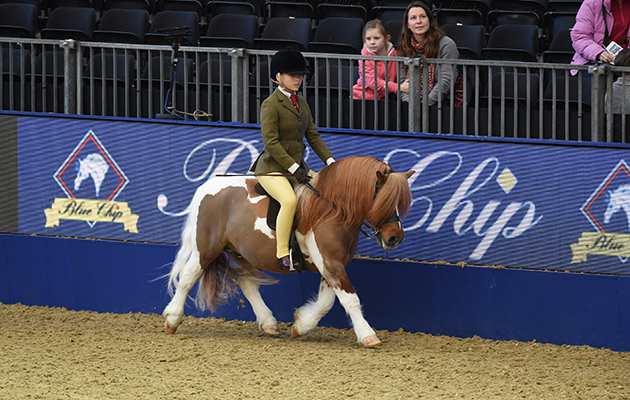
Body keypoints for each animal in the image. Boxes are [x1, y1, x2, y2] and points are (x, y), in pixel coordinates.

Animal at [164, 155, 414, 346]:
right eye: (383, 199)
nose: (394, 238)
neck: (331, 210)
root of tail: (207, 186)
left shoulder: (332, 263)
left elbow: (327, 301)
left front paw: (301, 325)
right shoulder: (330, 262)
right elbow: (349, 299)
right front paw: (368, 335)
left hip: (239, 251)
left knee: (247, 282)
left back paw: (268, 323)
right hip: (206, 248)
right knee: (188, 276)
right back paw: (172, 319)